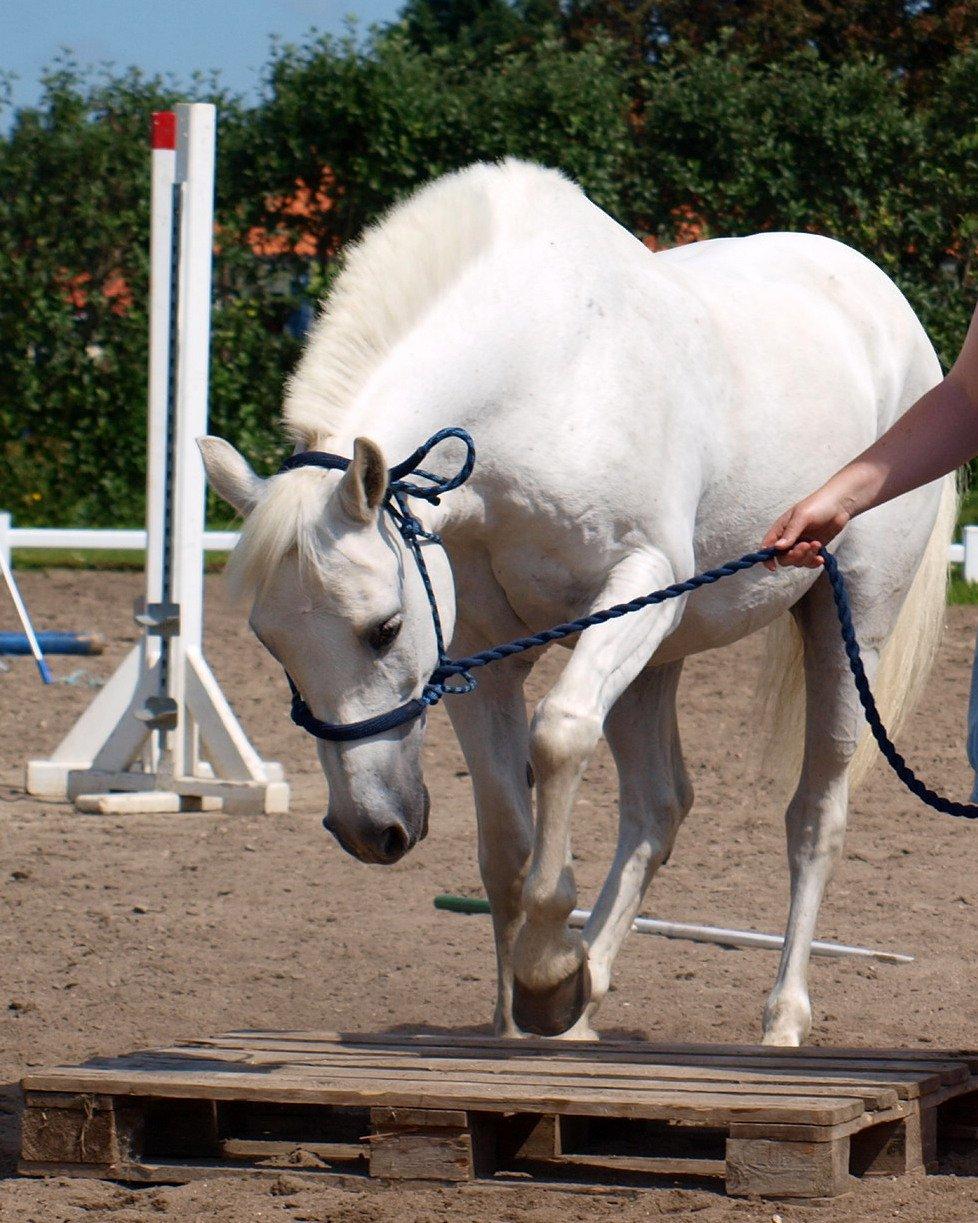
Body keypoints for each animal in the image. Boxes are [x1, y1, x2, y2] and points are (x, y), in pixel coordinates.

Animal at [200, 157, 953, 1046]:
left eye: (384, 628)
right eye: (271, 643)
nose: (368, 830)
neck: (541, 377)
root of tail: (890, 312)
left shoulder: (635, 587)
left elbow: (558, 737)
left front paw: (547, 967)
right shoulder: (482, 656)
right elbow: (504, 841)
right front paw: (526, 1007)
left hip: (847, 628)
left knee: (814, 817)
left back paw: (780, 1017)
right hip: (659, 654)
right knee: (658, 808)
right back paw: (587, 993)